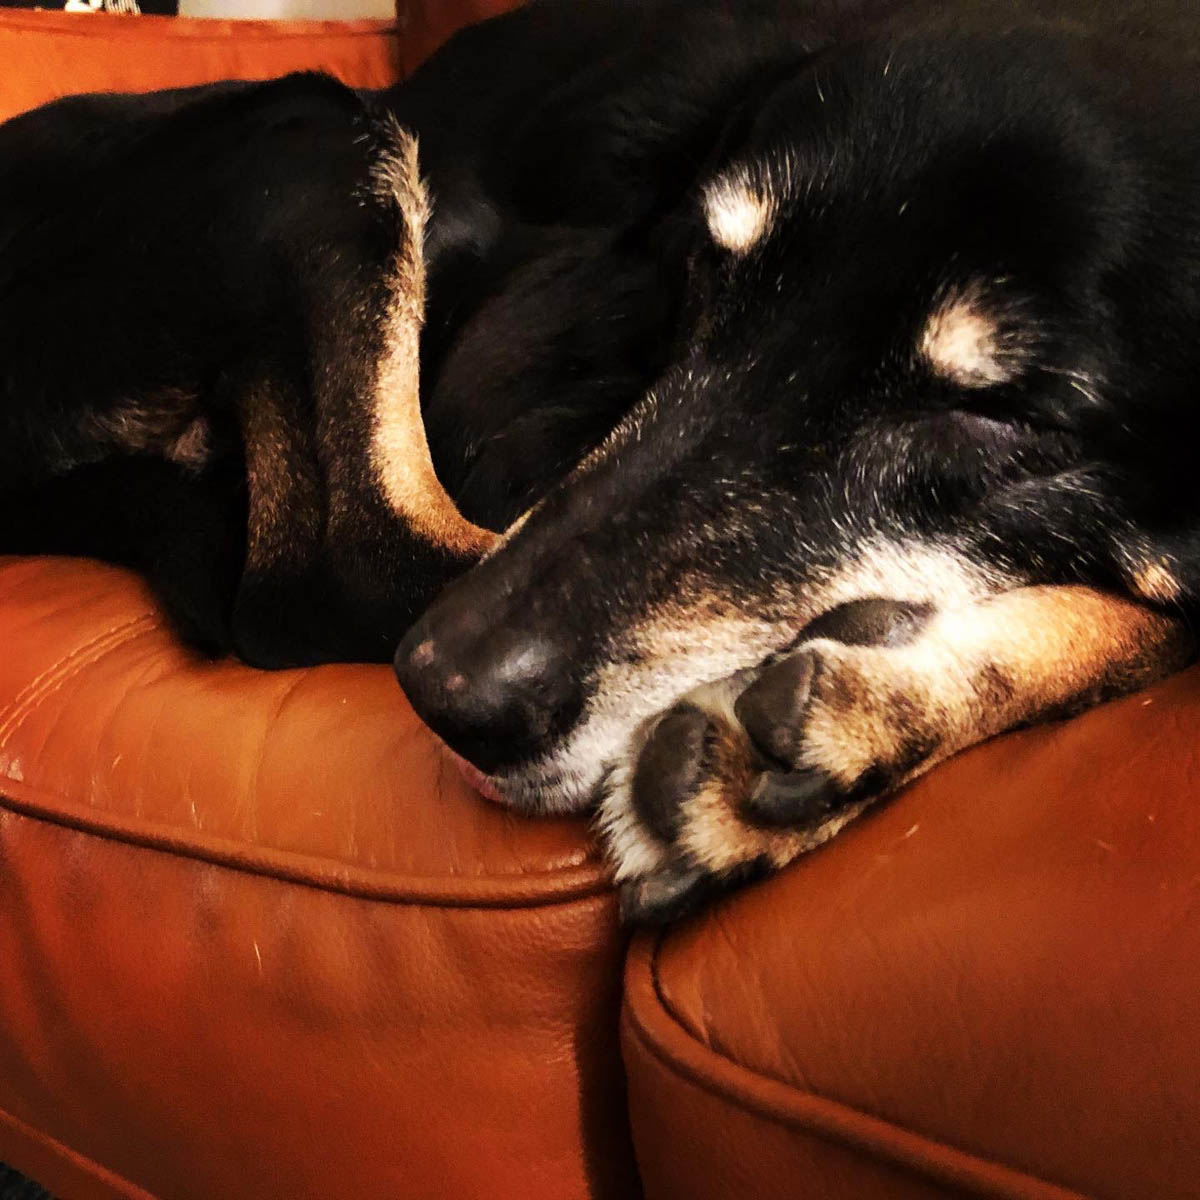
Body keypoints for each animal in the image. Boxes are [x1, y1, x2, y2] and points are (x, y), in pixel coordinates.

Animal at [2, 0, 1200, 916]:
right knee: (335, 575)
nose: (443, 695)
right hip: (318, 133)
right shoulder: (500, 389)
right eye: (705, 273)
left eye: (998, 417)